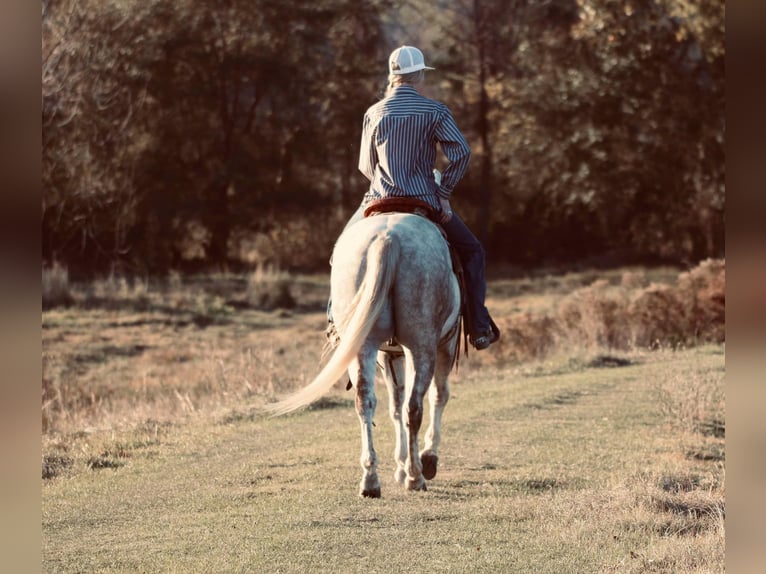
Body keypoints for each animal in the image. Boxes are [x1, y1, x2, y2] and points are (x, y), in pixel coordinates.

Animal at [268, 213, 462, 500]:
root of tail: (387, 238)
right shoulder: (444, 344)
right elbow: (438, 396)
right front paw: (426, 459)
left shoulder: (389, 356)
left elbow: (394, 405)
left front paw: (400, 466)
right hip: (422, 343)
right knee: (414, 406)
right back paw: (415, 476)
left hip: (365, 345)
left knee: (366, 402)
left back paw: (371, 480)